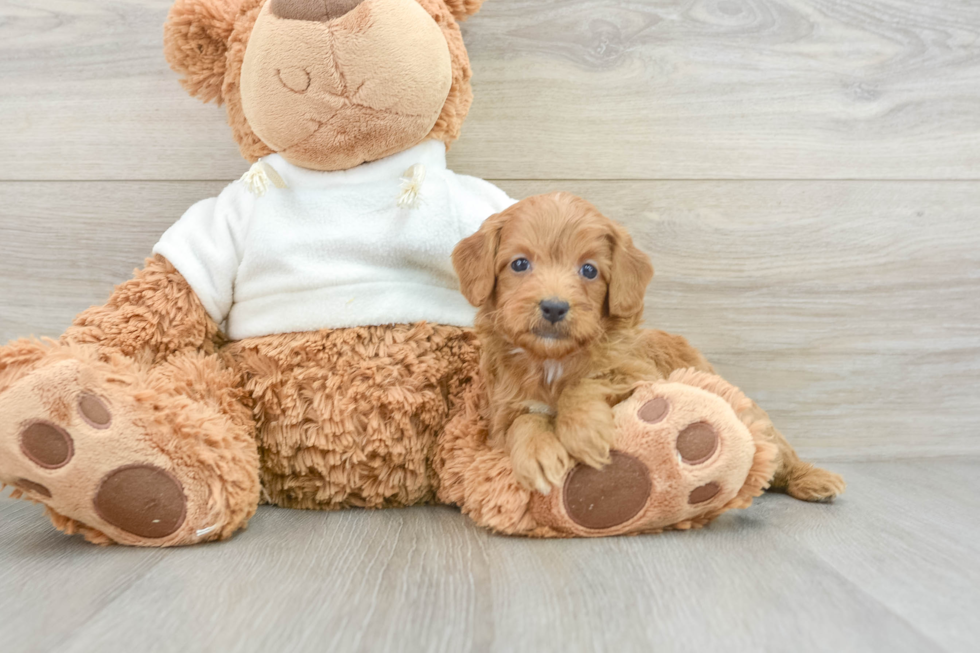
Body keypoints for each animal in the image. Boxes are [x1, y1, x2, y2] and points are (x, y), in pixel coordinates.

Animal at [452, 194, 844, 500]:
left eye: (589, 270)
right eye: (520, 264)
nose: (554, 307)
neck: (552, 361)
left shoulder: (640, 376)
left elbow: (587, 383)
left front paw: (584, 432)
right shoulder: (501, 412)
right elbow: (524, 421)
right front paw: (539, 455)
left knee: (779, 452)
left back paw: (815, 479)